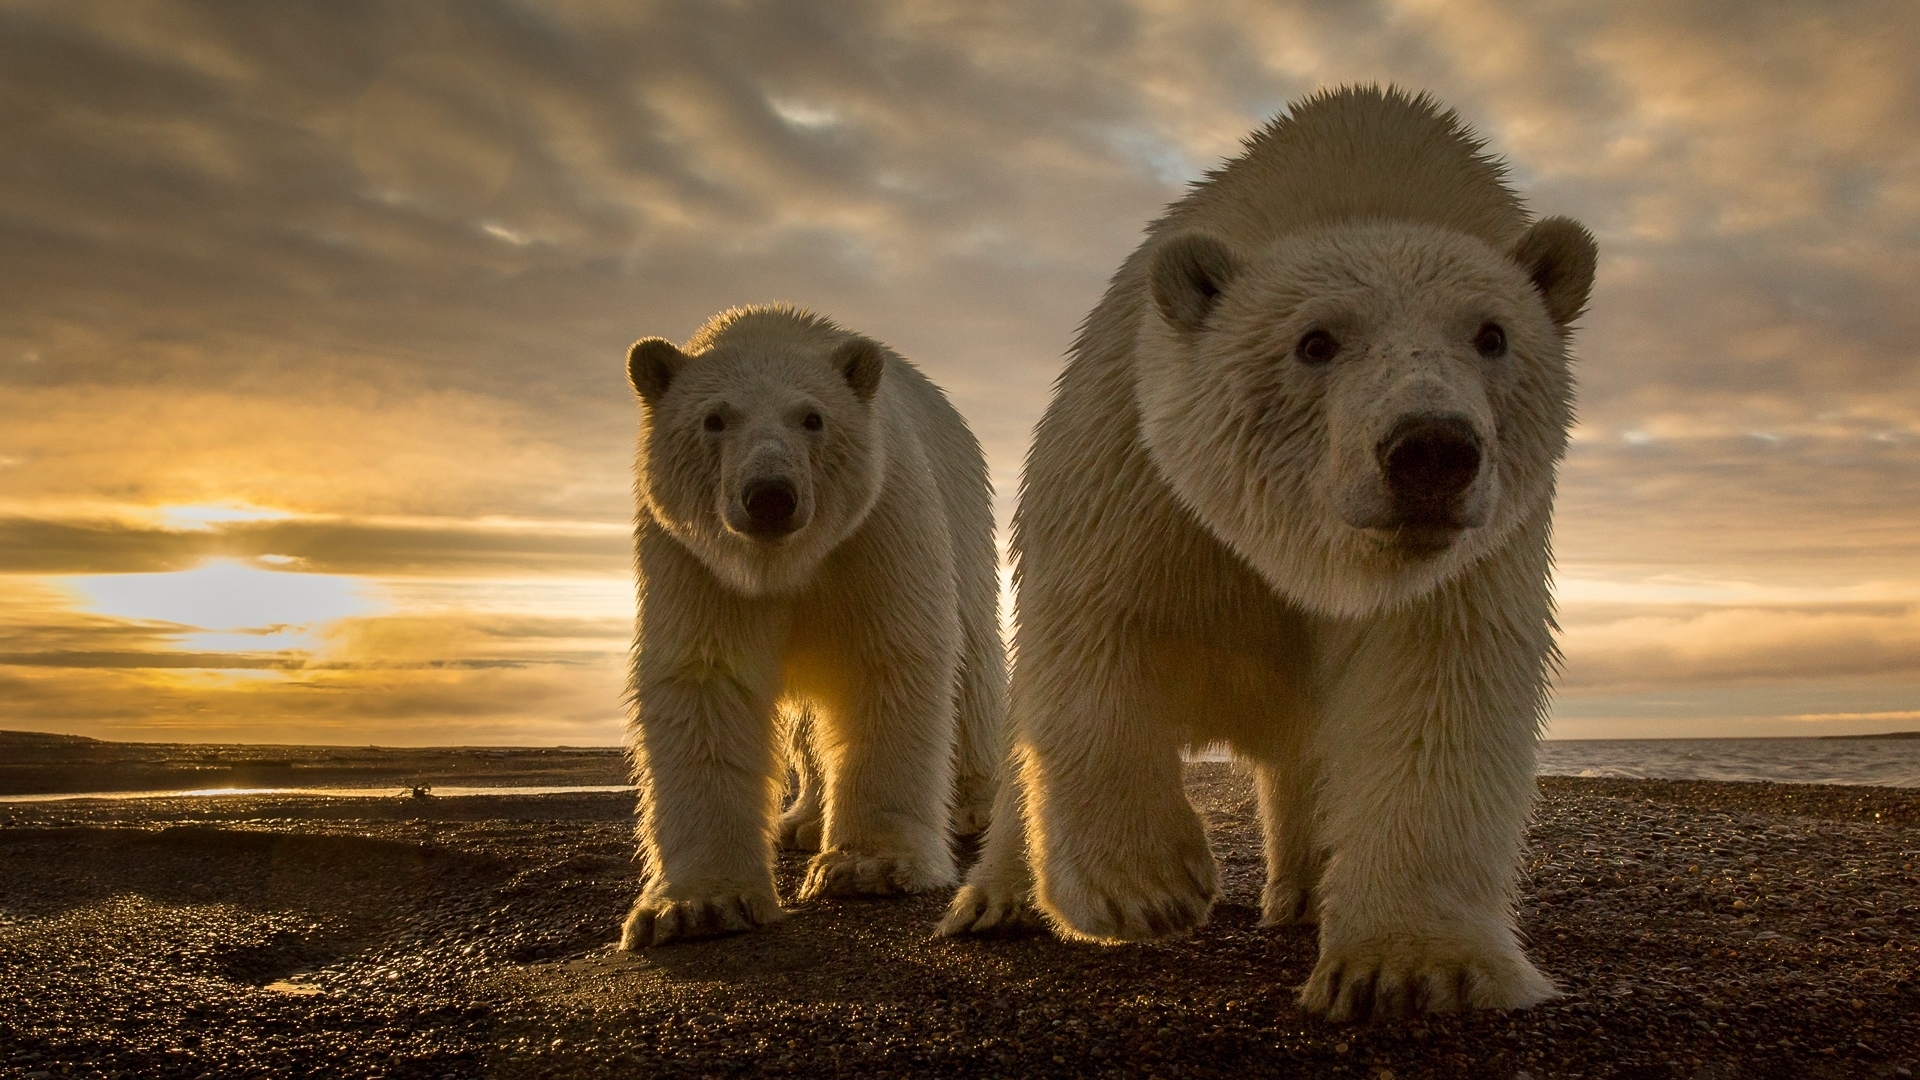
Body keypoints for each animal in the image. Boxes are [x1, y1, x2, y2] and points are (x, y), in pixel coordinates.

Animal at [618, 305, 1006, 949]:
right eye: (714, 418)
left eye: (813, 417)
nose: (770, 495)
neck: (783, 563)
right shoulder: (695, 559)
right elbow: (704, 682)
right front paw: (698, 904)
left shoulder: (878, 522)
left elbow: (888, 656)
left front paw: (868, 865)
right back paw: (799, 820)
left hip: (967, 521)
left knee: (973, 664)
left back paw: (972, 805)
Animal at [939, 86, 1596, 1022]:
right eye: (1315, 340)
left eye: (1493, 335)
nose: (1432, 450)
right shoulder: (1137, 463)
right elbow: (1097, 627)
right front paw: (1145, 887)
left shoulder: (1472, 553)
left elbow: (1437, 689)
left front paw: (1411, 967)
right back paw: (996, 898)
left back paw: (1303, 892)